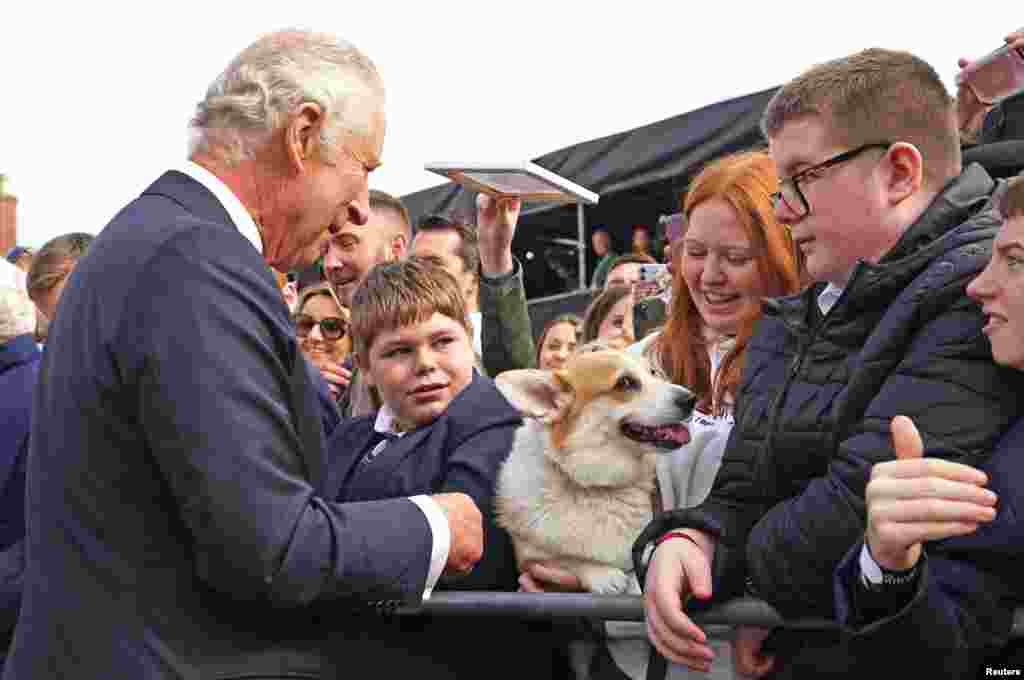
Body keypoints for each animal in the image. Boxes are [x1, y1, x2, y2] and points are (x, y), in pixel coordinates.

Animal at [495, 350, 696, 593]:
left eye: (653, 373)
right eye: (625, 383)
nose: (691, 399)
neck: (597, 486)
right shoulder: (530, 560)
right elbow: (564, 559)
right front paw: (602, 574)